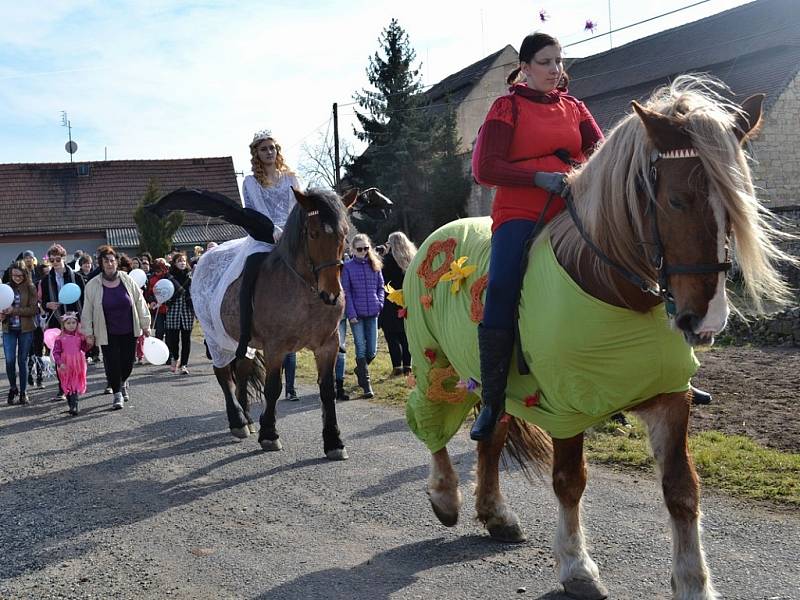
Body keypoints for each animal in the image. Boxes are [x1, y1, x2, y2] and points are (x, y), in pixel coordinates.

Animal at [406, 77, 792, 596]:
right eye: (676, 200)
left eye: (736, 207)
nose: (706, 321)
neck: (610, 286)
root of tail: (435, 238)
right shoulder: (566, 407)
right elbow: (570, 481)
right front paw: (576, 566)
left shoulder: (670, 398)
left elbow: (682, 489)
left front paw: (693, 581)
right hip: (436, 364)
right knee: (432, 423)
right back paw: (446, 496)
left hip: (491, 383)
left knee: (492, 434)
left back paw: (495, 513)